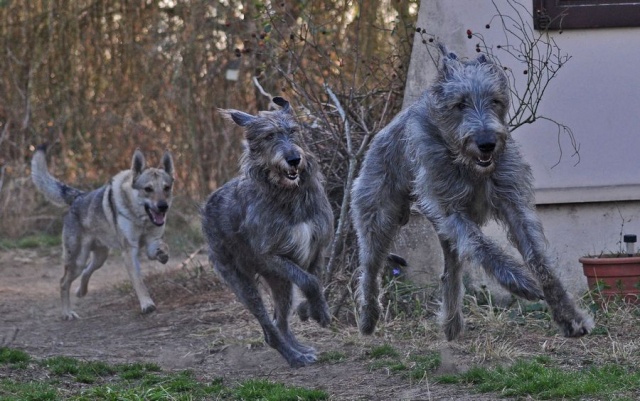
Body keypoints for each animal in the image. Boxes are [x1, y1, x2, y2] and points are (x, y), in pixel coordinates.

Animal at [204, 97, 336, 366]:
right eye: (269, 136)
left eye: (293, 131)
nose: (294, 159)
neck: (289, 193)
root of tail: (207, 203)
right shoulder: (270, 255)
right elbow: (310, 281)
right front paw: (317, 311)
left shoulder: (318, 247)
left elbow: (315, 280)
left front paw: (313, 310)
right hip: (242, 281)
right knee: (269, 327)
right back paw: (294, 357)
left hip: (280, 280)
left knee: (280, 322)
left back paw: (299, 349)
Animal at [350, 45, 596, 340]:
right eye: (460, 104)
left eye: (495, 101)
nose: (487, 143)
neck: (468, 165)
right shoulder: (451, 211)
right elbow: (482, 246)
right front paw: (522, 283)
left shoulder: (513, 203)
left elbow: (540, 260)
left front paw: (570, 317)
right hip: (378, 215)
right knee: (370, 267)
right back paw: (367, 317)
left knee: (450, 270)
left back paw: (452, 323)